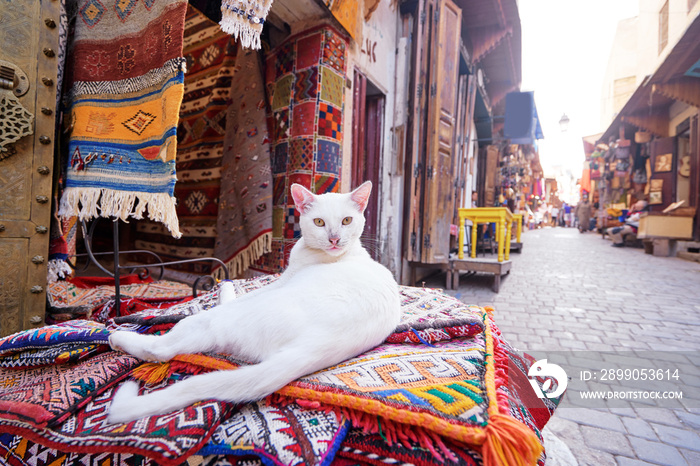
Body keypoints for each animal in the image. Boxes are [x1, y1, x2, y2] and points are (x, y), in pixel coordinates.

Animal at [107, 184, 402, 424]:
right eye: (319, 222)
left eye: (346, 221)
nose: (333, 239)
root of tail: (314, 348)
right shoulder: (282, 279)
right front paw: (226, 286)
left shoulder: (283, 281)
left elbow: (244, 294)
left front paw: (223, 288)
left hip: (213, 322)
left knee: (162, 349)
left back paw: (117, 337)